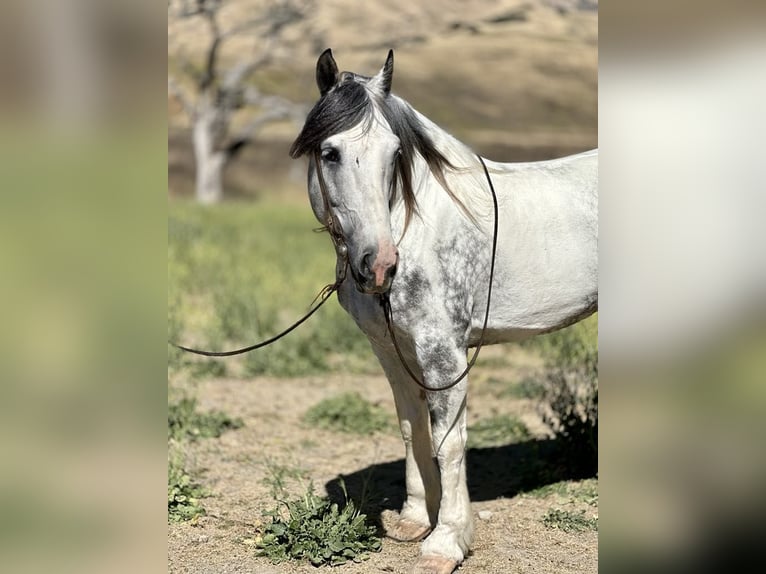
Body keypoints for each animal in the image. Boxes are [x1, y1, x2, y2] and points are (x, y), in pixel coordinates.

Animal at [289, 49, 598, 574]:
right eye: (330, 153)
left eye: (394, 153)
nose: (379, 264)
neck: (414, 229)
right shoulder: (392, 351)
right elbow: (412, 429)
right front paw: (415, 520)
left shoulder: (443, 354)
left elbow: (448, 441)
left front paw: (446, 542)